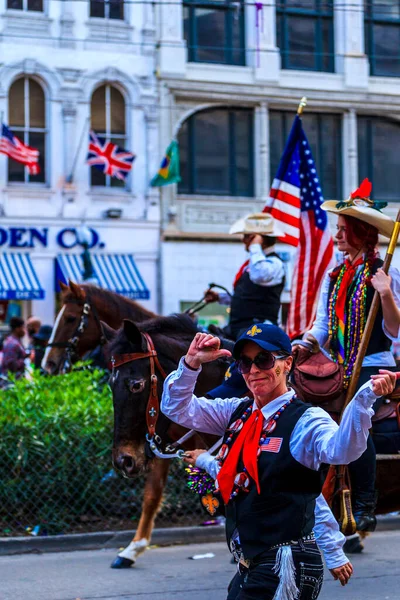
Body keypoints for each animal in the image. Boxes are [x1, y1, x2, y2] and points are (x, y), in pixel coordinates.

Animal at [101, 316, 231, 568]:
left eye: (136, 385)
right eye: (110, 384)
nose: (123, 461)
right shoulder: (159, 444)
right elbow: (152, 494)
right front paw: (132, 548)